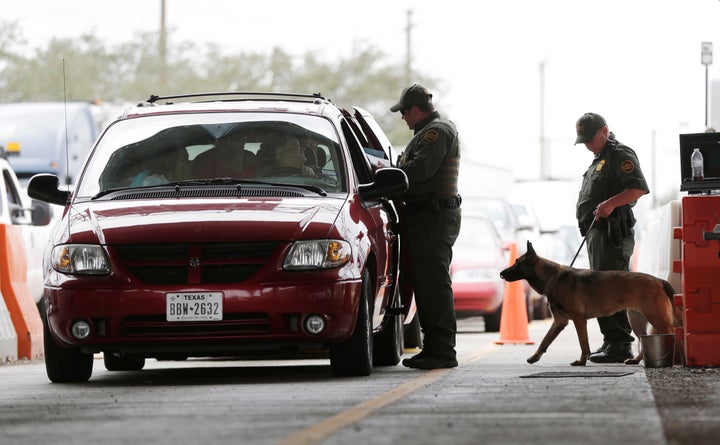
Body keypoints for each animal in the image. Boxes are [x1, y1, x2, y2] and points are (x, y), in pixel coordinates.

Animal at [498, 241, 676, 366]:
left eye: (517, 262)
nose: (501, 273)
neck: (552, 278)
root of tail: (659, 280)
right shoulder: (559, 322)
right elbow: (545, 340)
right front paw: (535, 357)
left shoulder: (579, 320)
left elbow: (583, 343)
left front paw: (581, 362)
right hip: (636, 319)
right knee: (643, 339)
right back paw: (637, 360)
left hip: (657, 318)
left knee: (672, 333)